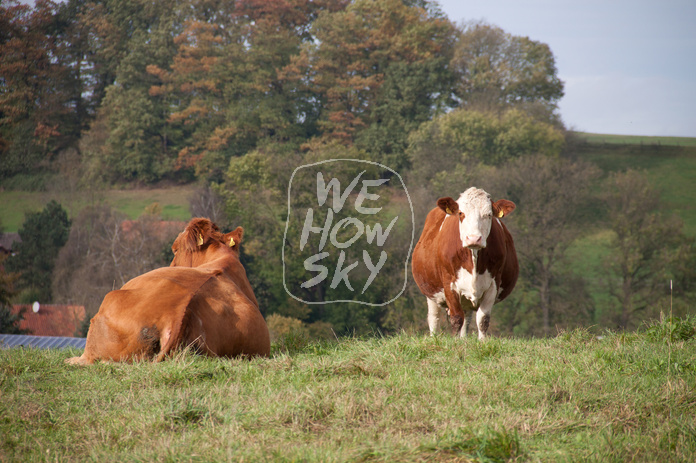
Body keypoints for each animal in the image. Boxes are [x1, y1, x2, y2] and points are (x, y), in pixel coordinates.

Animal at [414, 188, 516, 340]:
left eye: (489, 214)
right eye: (461, 213)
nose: (474, 238)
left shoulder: (493, 284)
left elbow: (483, 320)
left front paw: (482, 342)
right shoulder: (449, 283)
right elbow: (456, 318)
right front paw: (454, 342)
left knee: (466, 318)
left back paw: (463, 339)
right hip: (431, 292)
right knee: (434, 318)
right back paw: (434, 337)